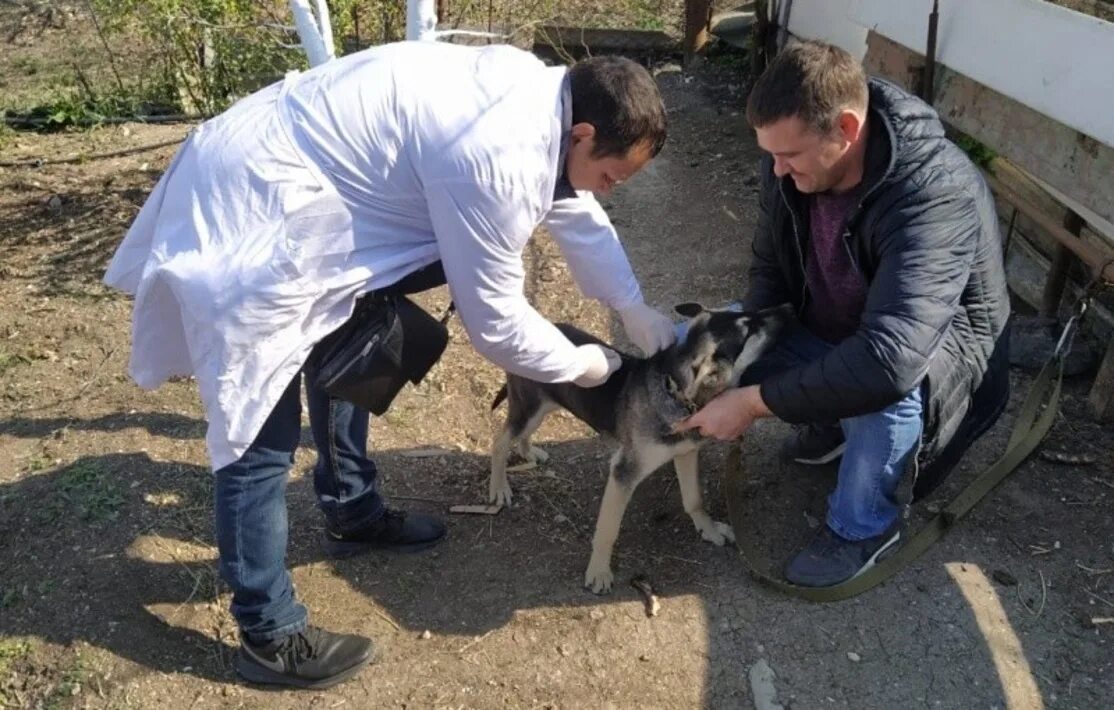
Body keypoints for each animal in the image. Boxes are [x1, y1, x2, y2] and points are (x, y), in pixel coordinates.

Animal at [490, 300, 793, 588]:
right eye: (748, 330)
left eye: (750, 314)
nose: (789, 307)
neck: (675, 395)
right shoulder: (623, 473)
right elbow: (608, 529)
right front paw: (599, 570)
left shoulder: (686, 452)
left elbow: (694, 498)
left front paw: (708, 529)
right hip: (529, 408)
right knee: (500, 441)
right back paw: (500, 487)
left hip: (542, 407)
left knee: (520, 436)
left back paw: (529, 452)